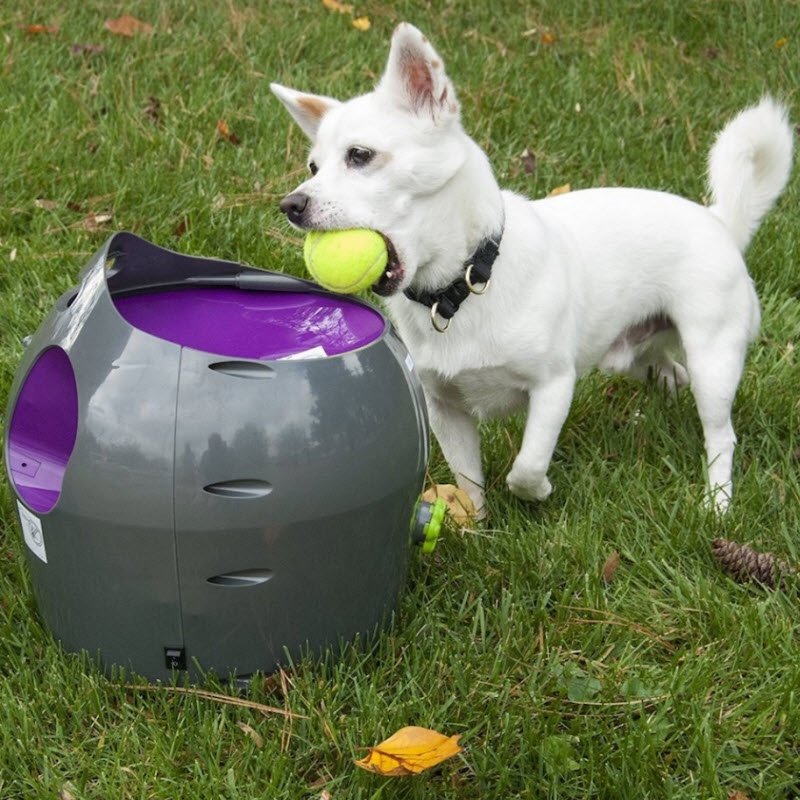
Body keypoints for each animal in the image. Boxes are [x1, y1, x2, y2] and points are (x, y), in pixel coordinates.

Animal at [274, 23, 792, 520]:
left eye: (360, 156)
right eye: (313, 167)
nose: (291, 204)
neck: (462, 285)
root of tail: (720, 221)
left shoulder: (554, 387)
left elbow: (525, 466)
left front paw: (538, 492)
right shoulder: (445, 409)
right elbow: (469, 480)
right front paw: (476, 528)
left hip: (713, 359)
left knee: (720, 435)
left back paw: (717, 503)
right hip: (629, 354)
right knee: (665, 367)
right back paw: (669, 387)